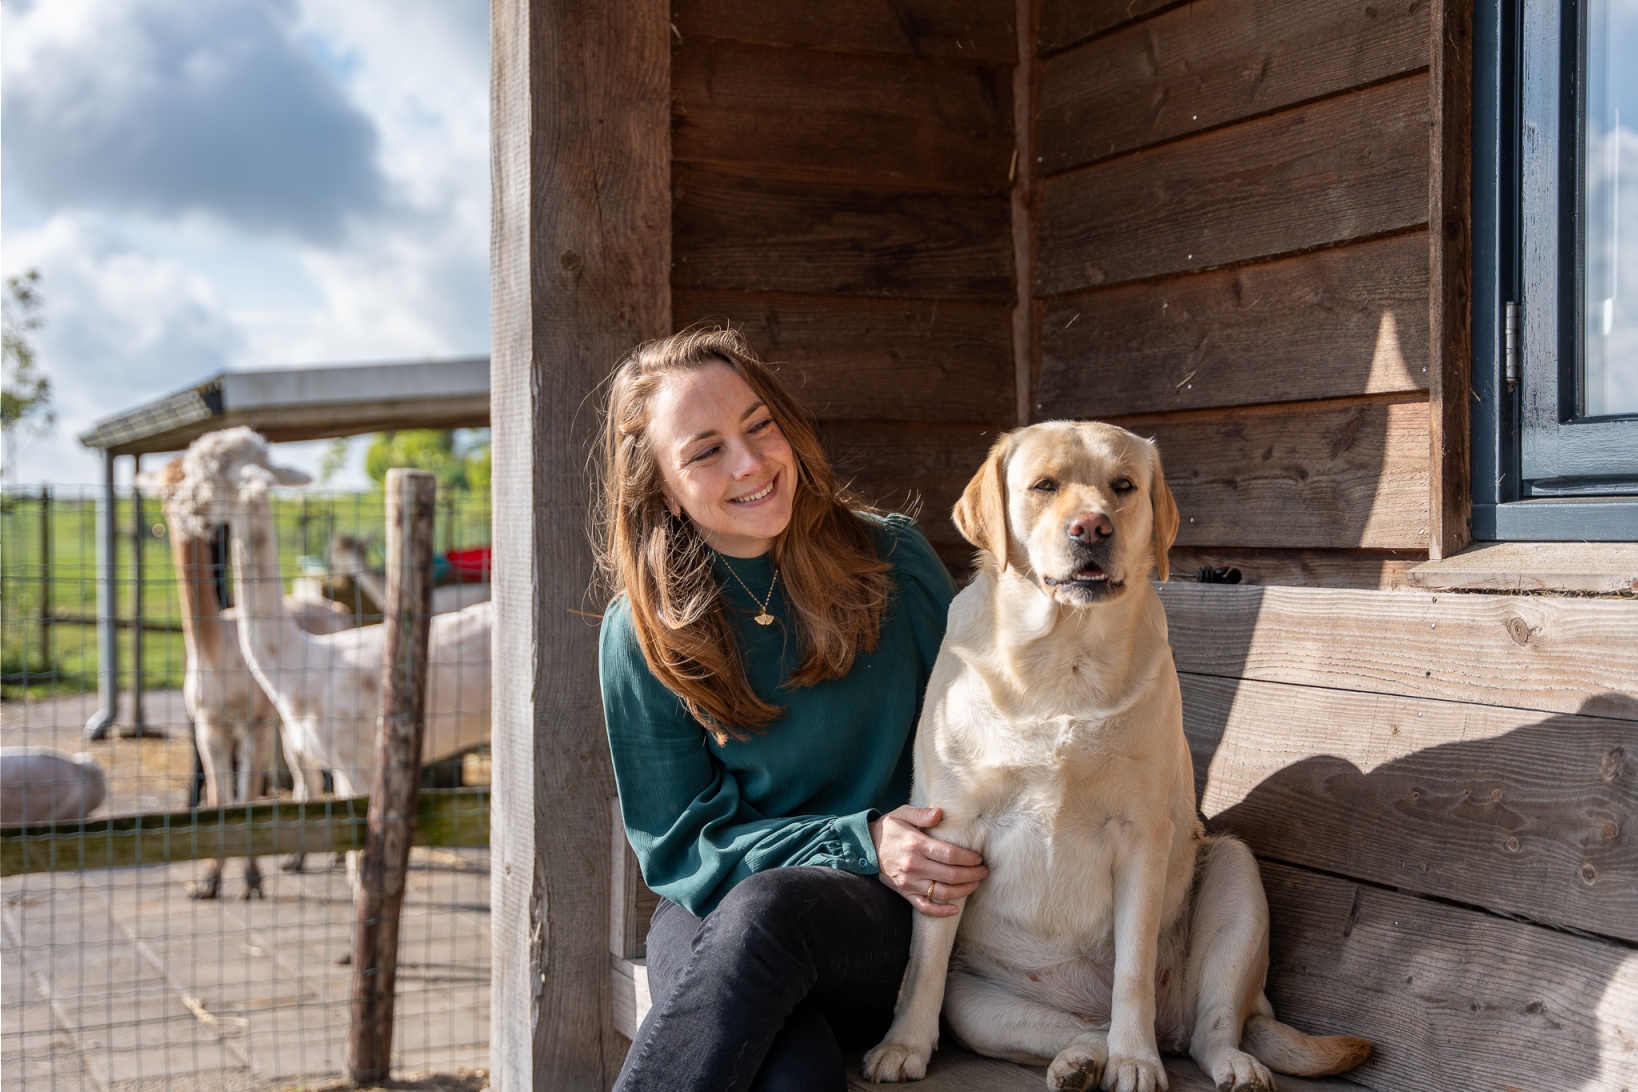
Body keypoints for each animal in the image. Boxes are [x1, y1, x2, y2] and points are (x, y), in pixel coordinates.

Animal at [871, 425, 1369, 1092]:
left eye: (1124, 486)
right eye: (1044, 485)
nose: (1092, 527)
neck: (1065, 659)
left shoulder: (1142, 836)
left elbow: (1133, 973)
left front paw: (1136, 1061)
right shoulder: (948, 836)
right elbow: (922, 964)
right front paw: (902, 1046)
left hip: (1233, 873)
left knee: (1208, 1028)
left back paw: (1213, 1060)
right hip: (974, 1006)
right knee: (1079, 1030)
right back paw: (1079, 1062)